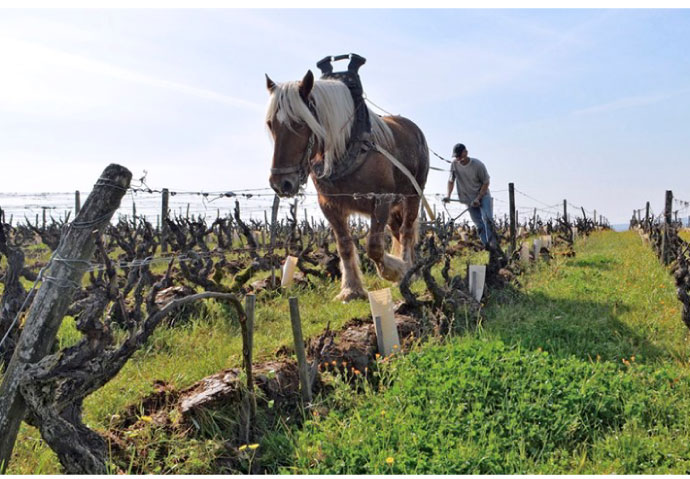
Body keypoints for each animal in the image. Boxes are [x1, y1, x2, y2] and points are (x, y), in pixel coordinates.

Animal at [266, 69, 428, 302]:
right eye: (271, 124)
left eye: (299, 122)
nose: (281, 184)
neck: (349, 148)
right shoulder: (330, 206)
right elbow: (344, 246)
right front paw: (351, 289)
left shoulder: (381, 199)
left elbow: (374, 247)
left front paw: (395, 271)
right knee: (398, 231)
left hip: (413, 194)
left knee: (406, 231)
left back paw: (407, 267)